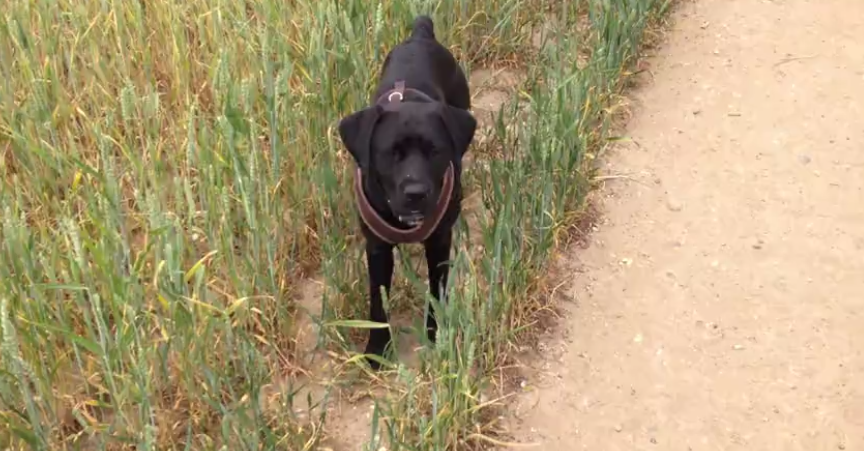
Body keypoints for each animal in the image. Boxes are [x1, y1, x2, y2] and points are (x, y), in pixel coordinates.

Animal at [336, 15, 476, 370]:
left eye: (435, 151)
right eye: (390, 153)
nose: (416, 192)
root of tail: (421, 34)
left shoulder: (439, 241)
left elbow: (436, 289)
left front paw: (436, 334)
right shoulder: (376, 247)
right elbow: (378, 299)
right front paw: (376, 348)